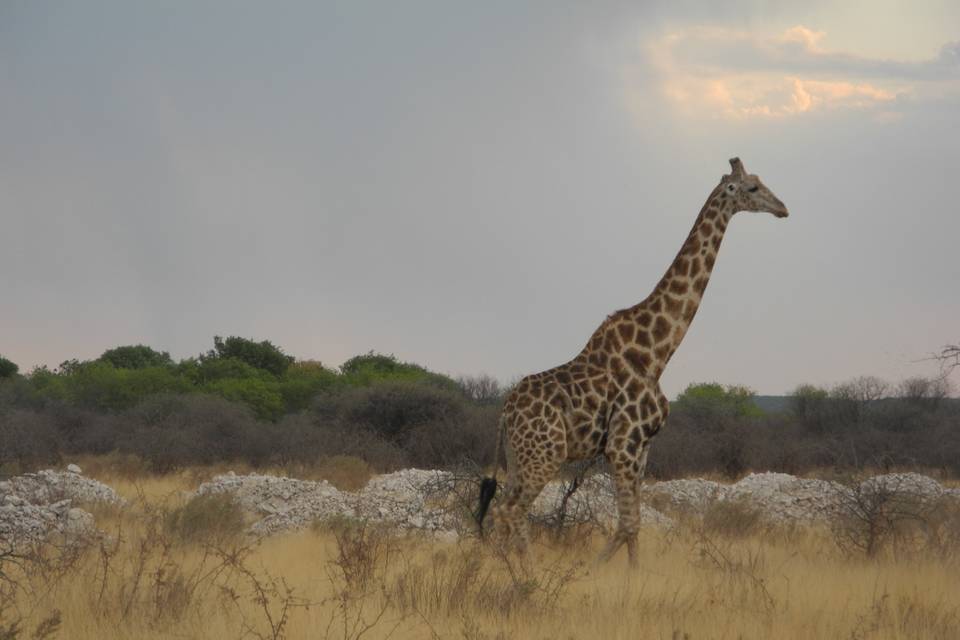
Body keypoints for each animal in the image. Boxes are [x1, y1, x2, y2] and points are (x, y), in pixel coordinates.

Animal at [476, 159, 792, 564]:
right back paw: (524, 574)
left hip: (520, 456)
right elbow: (628, 523)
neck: (657, 353)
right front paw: (598, 571)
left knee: (499, 510)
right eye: (752, 188)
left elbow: (633, 525)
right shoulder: (623, 443)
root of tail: (504, 412)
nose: (783, 208)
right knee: (510, 510)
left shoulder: (642, 448)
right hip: (545, 454)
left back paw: (494, 567)